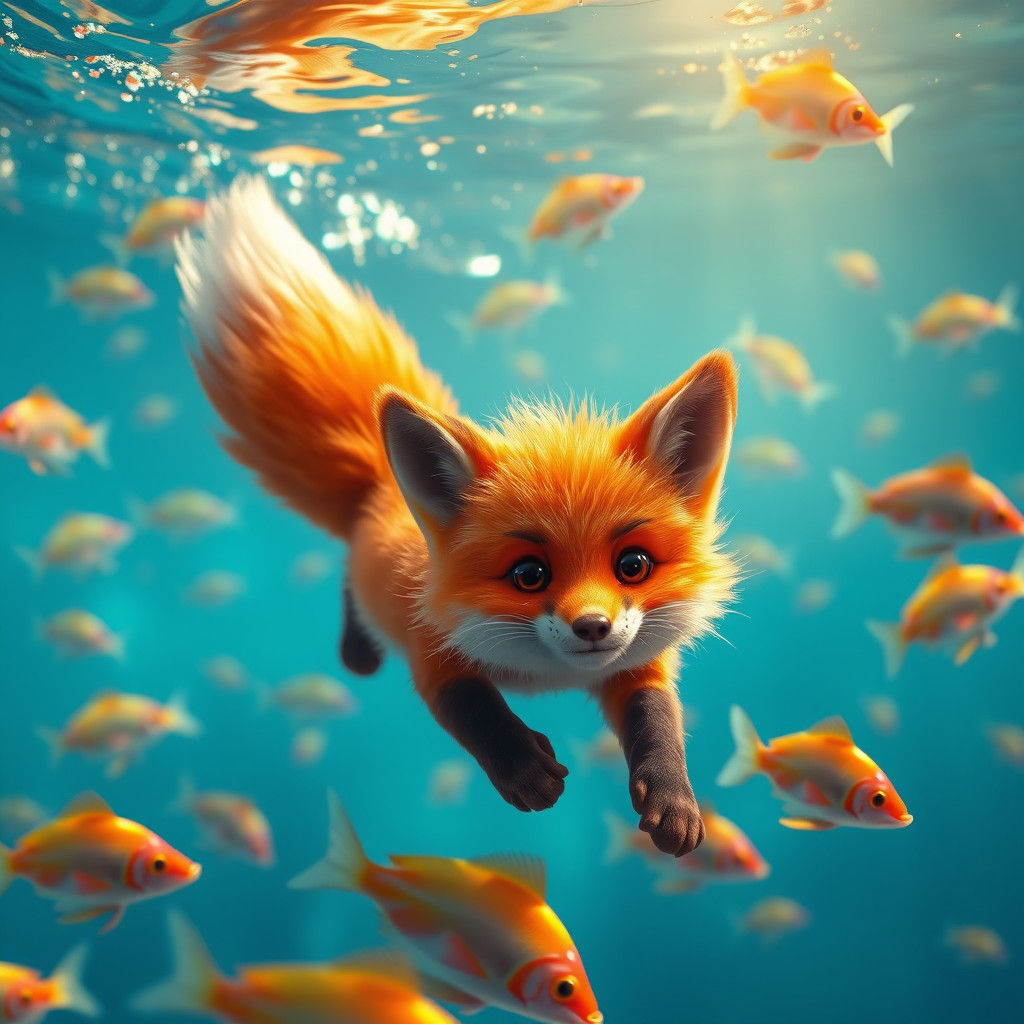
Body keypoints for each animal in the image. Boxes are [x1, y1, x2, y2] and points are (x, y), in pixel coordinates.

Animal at [176, 177, 739, 857]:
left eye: (633, 565)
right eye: (529, 575)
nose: (593, 627)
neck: (544, 674)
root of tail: (380, 480)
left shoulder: (639, 658)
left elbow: (659, 719)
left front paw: (674, 800)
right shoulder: (433, 654)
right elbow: (475, 712)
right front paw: (524, 770)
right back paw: (357, 653)